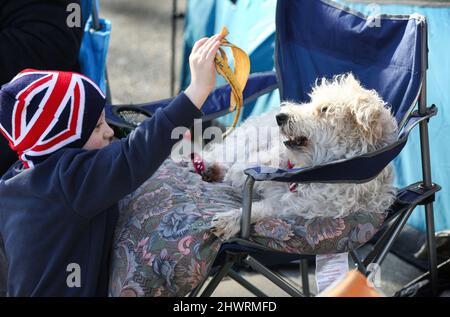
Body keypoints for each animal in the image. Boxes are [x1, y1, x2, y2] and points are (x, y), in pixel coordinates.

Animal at [196, 73, 398, 238]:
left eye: (325, 109)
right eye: (312, 101)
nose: (280, 117)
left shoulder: (297, 206)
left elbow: (258, 210)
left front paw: (232, 220)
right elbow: (242, 169)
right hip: (247, 139)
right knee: (222, 154)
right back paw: (209, 166)